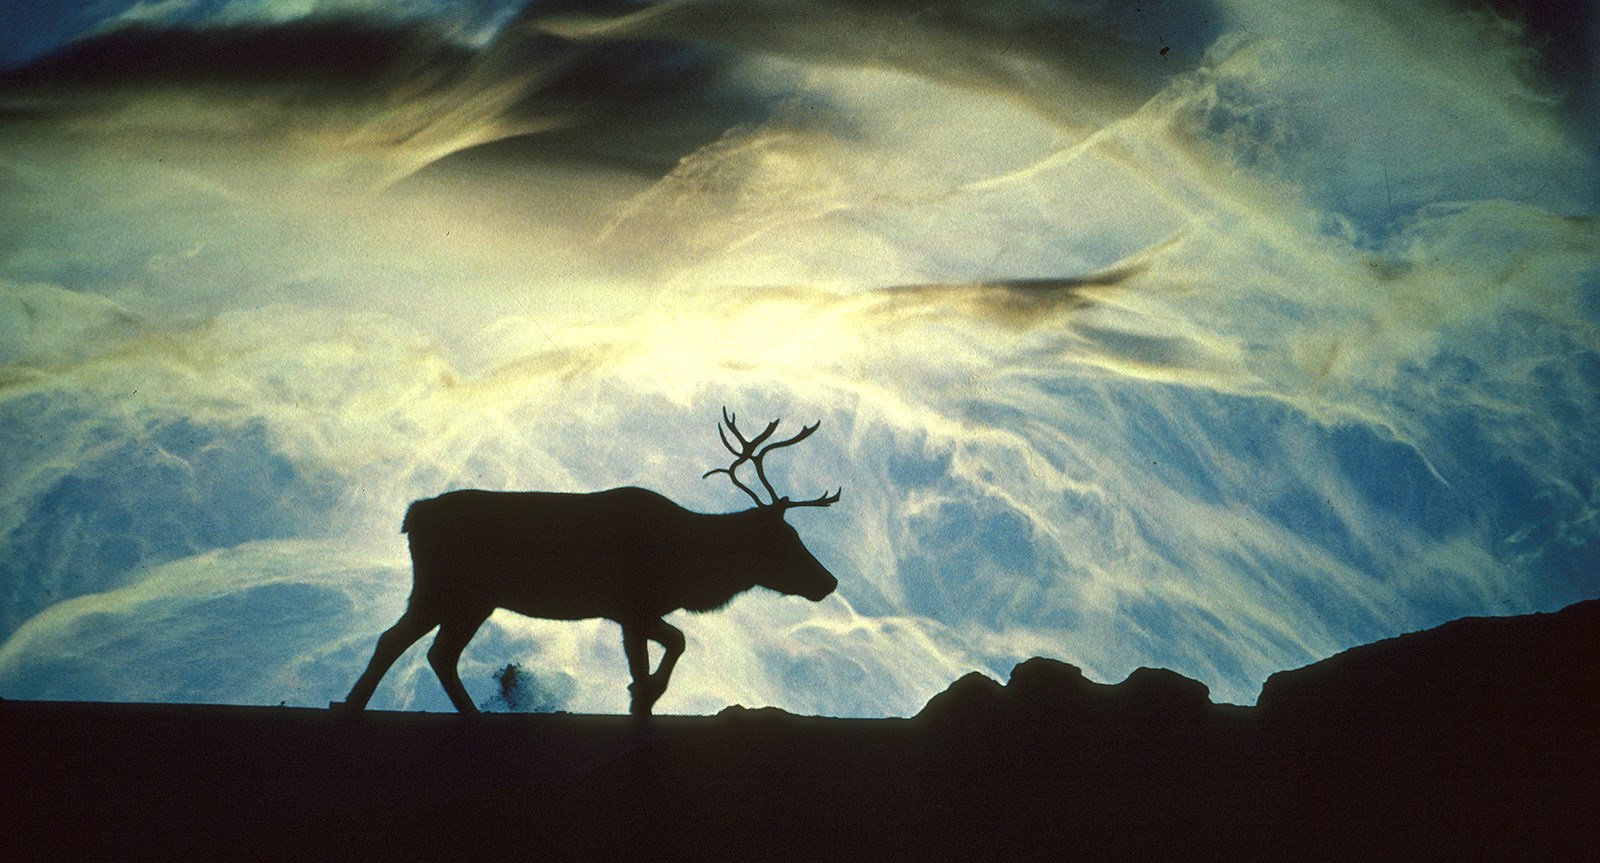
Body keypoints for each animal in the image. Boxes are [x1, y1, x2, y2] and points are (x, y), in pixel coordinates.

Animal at [335, 408, 840, 718]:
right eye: (785, 540)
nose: (830, 581)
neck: (686, 565)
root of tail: (412, 516)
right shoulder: (631, 606)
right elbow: (666, 649)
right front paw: (642, 695)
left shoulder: (629, 612)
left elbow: (668, 646)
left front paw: (643, 695)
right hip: (444, 588)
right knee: (396, 640)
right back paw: (354, 705)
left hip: (473, 601)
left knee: (437, 653)